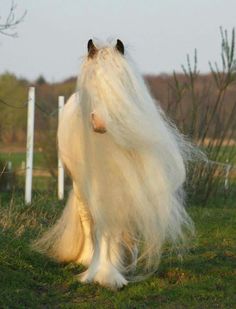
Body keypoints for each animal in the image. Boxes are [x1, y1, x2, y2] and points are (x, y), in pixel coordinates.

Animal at [34, 39, 195, 288]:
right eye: (91, 81)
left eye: (120, 80)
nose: (100, 122)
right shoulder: (97, 187)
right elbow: (99, 227)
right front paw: (102, 272)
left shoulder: (126, 184)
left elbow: (122, 224)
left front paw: (117, 269)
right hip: (80, 188)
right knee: (87, 221)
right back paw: (89, 259)